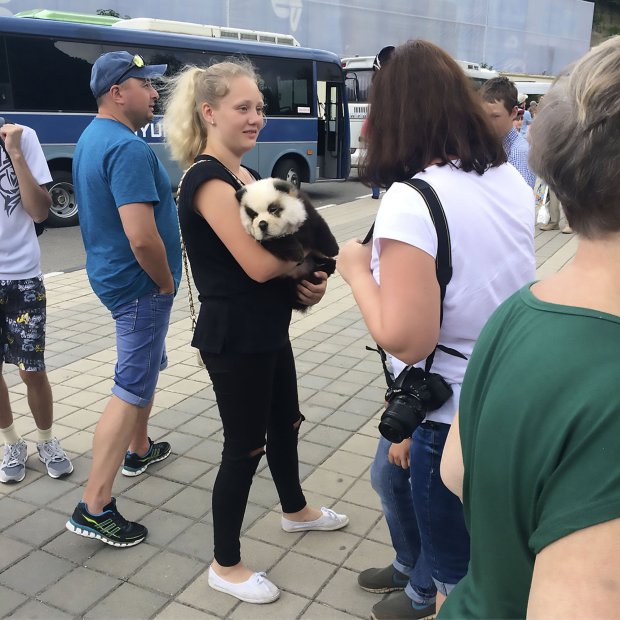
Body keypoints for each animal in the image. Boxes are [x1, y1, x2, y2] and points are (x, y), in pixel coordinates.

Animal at [236, 177, 340, 312]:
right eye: (253, 214)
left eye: (273, 209)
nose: (262, 224)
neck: (289, 229)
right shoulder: (265, 239)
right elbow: (277, 241)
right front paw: (297, 253)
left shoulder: (304, 208)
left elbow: (318, 225)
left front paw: (333, 249)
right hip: (284, 282)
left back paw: (326, 263)